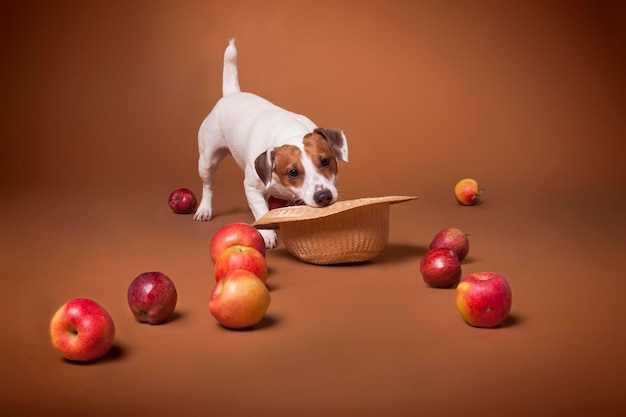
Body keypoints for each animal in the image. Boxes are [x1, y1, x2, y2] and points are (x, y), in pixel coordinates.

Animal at [193, 39, 346, 247]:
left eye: (325, 161)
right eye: (293, 172)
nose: (323, 196)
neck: (289, 132)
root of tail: (231, 95)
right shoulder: (251, 189)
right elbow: (261, 212)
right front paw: (267, 234)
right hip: (207, 160)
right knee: (208, 185)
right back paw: (205, 209)